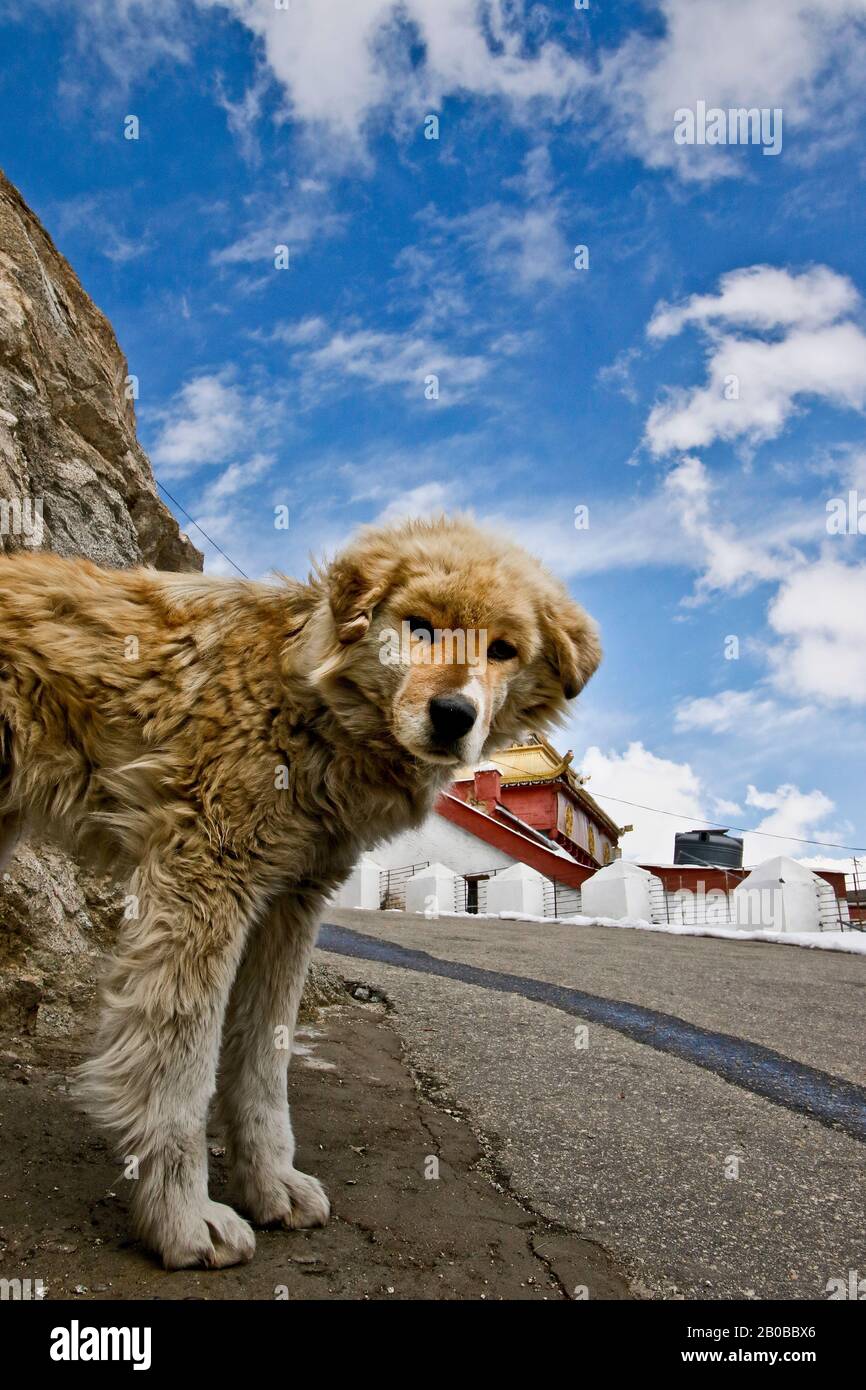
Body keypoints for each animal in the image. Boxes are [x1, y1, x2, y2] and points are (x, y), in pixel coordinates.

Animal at [0, 514, 600, 1273]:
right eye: (420, 627)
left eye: (502, 650)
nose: (454, 715)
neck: (307, 704)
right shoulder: (203, 882)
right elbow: (180, 1065)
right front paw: (180, 1218)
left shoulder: (290, 902)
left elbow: (266, 1058)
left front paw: (269, 1183)